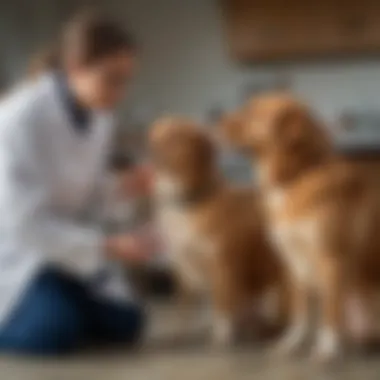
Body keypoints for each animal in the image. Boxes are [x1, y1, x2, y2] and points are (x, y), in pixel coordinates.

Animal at [150, 117, 286, 346]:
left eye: (177, 139)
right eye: (159, 136)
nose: (151, 150)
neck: (189, 200)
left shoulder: (223, 264)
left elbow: (223, 305)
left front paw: (222, 336)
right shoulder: (183, 268)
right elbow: (183, 308)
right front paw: (181, 333)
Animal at [223, 94, 380, 362]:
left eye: (253, 112)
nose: (216, 120)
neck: (297, 175)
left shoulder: (332, 261)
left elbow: (330, 311)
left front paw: (328, 348)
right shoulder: (294, 262)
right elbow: (301, 313)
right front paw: (292, 343)